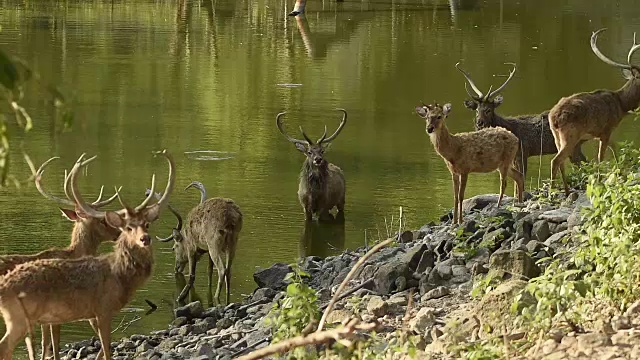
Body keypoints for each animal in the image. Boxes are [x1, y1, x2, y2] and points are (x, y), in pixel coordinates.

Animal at [548, 28, 640, 194]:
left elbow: (614, 147)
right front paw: (599, 181)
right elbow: (600, 157)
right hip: (570, 135)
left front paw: (620, 174)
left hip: (556, 136)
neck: (621, 105)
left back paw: (566, 190)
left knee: (561, 161)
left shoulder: (601, 133)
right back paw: (553, 192)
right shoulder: (607, 129)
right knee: (556, 160)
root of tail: (554, 117)